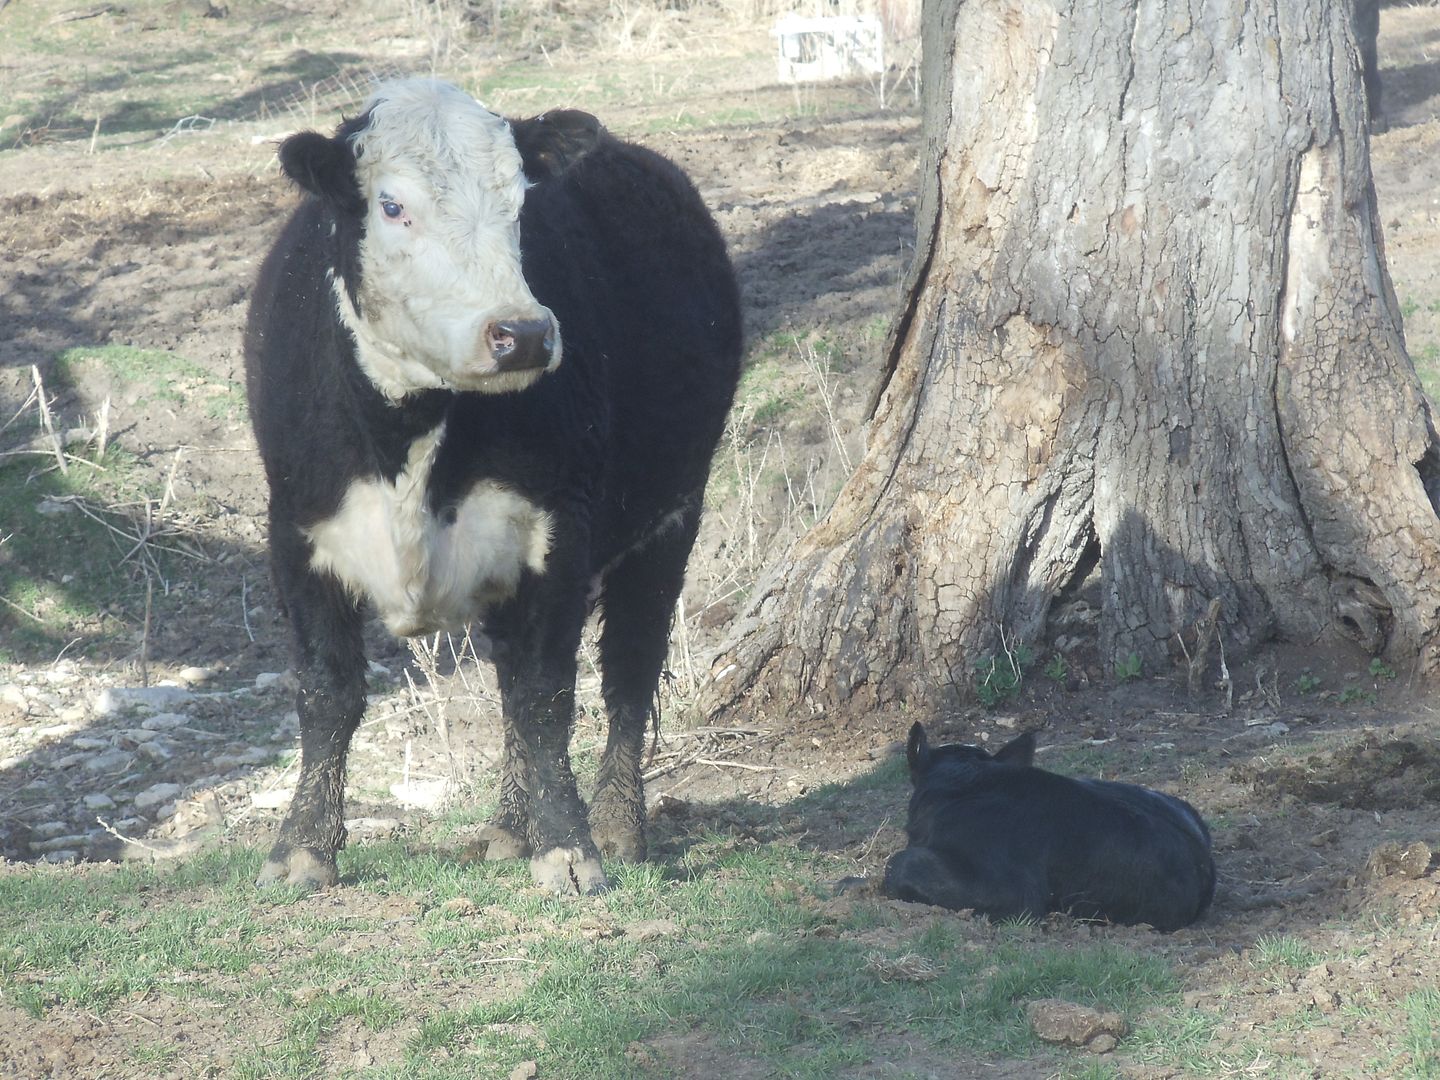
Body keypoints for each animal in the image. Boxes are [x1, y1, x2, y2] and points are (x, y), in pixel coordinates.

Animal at [244, 78, 743, 898]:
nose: (524, 334)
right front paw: (301, 849)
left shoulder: (558, 531)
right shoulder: (296, 530)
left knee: (628, 670)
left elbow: (546, 694)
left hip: (674, 514)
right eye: (392, 205)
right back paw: (511, 827)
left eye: (519, 204)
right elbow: (326, 691)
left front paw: (569, 848)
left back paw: (615, 824)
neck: (407, 447)